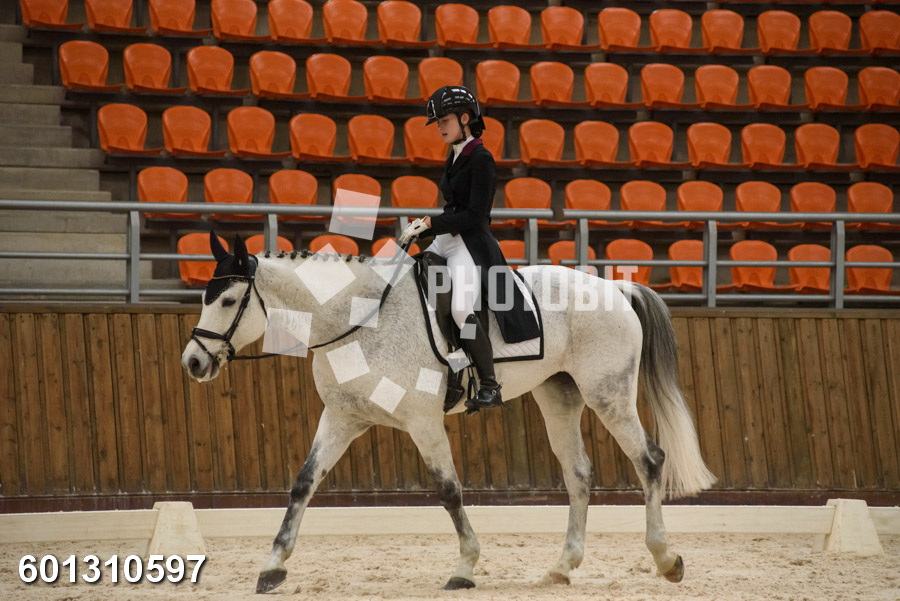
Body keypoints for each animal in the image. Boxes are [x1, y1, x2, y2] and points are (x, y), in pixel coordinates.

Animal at [181, 233, 716, 594]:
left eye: (228, 299)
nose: (193, 362)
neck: (359, 320)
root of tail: (615, 289)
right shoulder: (342, 417)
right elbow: (303, 483)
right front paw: (273, 565)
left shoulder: (422, 421)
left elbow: (449, 490)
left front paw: (464, 568)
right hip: (559, 396)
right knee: (579, 474)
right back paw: (561, 568)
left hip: (609, 394)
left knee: (649, 461)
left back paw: (667, 559)